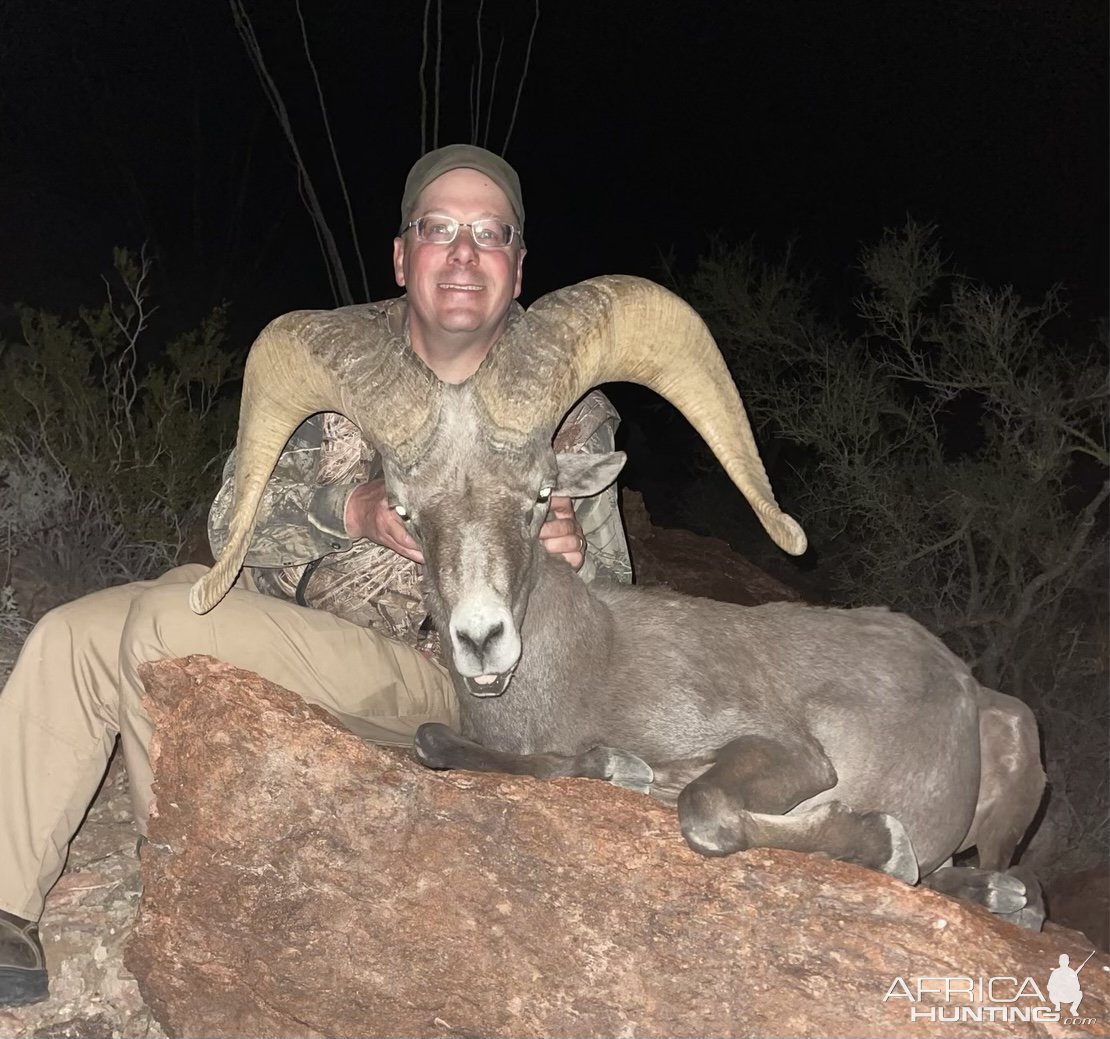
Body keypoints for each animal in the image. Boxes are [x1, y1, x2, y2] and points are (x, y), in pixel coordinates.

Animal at [193, 276, 1047, 923]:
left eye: (540, 497)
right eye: (404, 512)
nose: (482, 640)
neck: (585, 668)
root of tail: (962, 677)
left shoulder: (786, 756)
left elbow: (704, 810)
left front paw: (880, 841)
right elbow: (442, 744)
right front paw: (618, 767)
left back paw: (1003, 894)